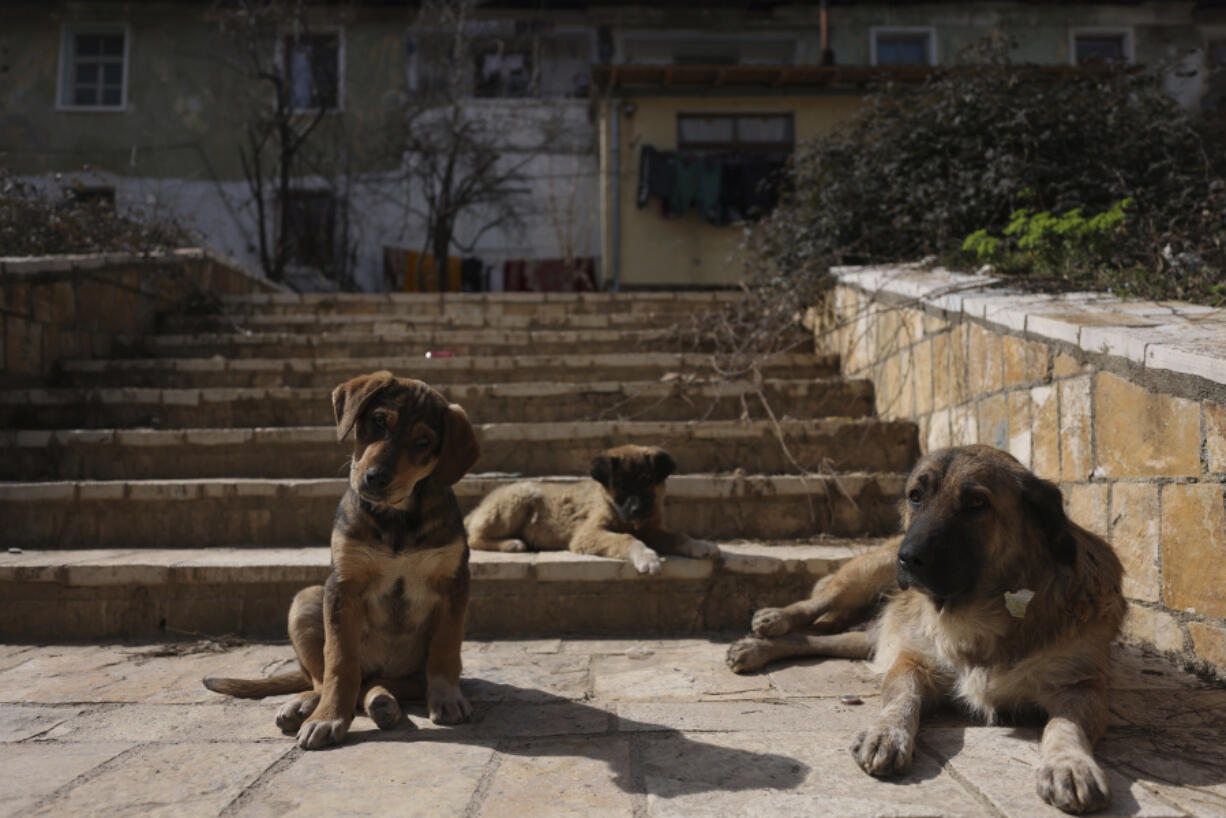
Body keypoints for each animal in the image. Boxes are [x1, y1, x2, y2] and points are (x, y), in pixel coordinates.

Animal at [205, 370, 478, 750]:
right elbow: (339, 661)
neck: (397, 518)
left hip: (406, 673)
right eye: (378, 421)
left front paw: (447, 698)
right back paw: (307, 705)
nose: (376, 477)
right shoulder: (343, 585)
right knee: (326, 679)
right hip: (306, 600)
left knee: (382, 684)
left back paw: (382, 703)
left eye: (423, 441)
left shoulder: (454, 583)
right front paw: (329, 717)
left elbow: (445, 647)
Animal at [465, 448, 715, 576]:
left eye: (646, 481)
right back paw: (512, 544)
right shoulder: (587, 534)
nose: (636, 510)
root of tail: (476, 510)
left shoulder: (651, 530)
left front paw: (700, 545)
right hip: (520, 496)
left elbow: (677, 536)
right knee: (473, 538)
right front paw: (646, 556)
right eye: (620, 485)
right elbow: (626, 538)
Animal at [720, 448, 1123, 818]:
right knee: (816, 603)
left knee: (817, 640)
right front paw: (886, 733)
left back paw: (756, 649)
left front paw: (1070, 765)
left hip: (866, 633)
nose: (909, 558)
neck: (980, 616)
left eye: (976, 502)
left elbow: (1064, 726)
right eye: (916, 496)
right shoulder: (913, 661)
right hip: (865, 575)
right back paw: (771, 621)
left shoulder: (1081, 686)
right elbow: (902, 698)